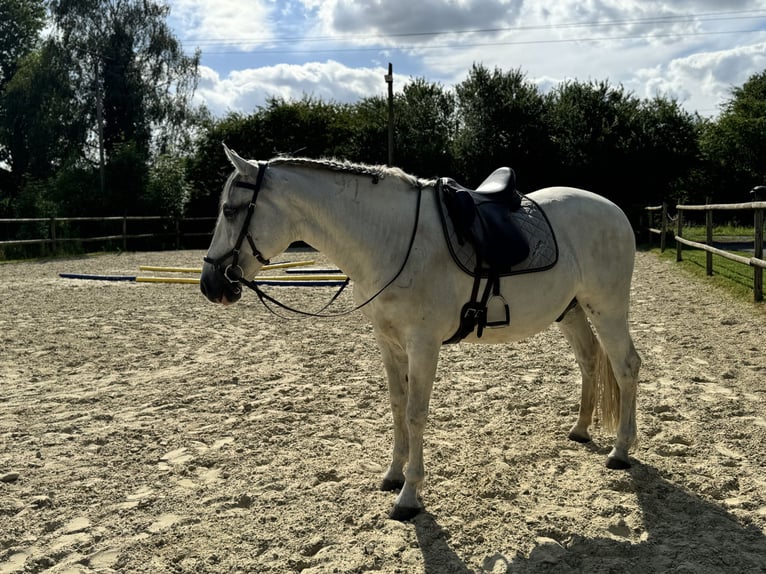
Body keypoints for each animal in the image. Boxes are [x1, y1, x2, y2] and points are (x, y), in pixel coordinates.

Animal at [202, 145, 640, 520]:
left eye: (229, 209)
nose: (210, 285)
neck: (391, 239)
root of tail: (613, 209)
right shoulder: (388, 342)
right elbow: (397, 406)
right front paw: (392, 475)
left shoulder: (423, 345)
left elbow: (415, 413)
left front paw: (409, 496)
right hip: (572, 311)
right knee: (589, 360)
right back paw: (580, 430)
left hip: (608, 308)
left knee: (626, 366)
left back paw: (621, 450)